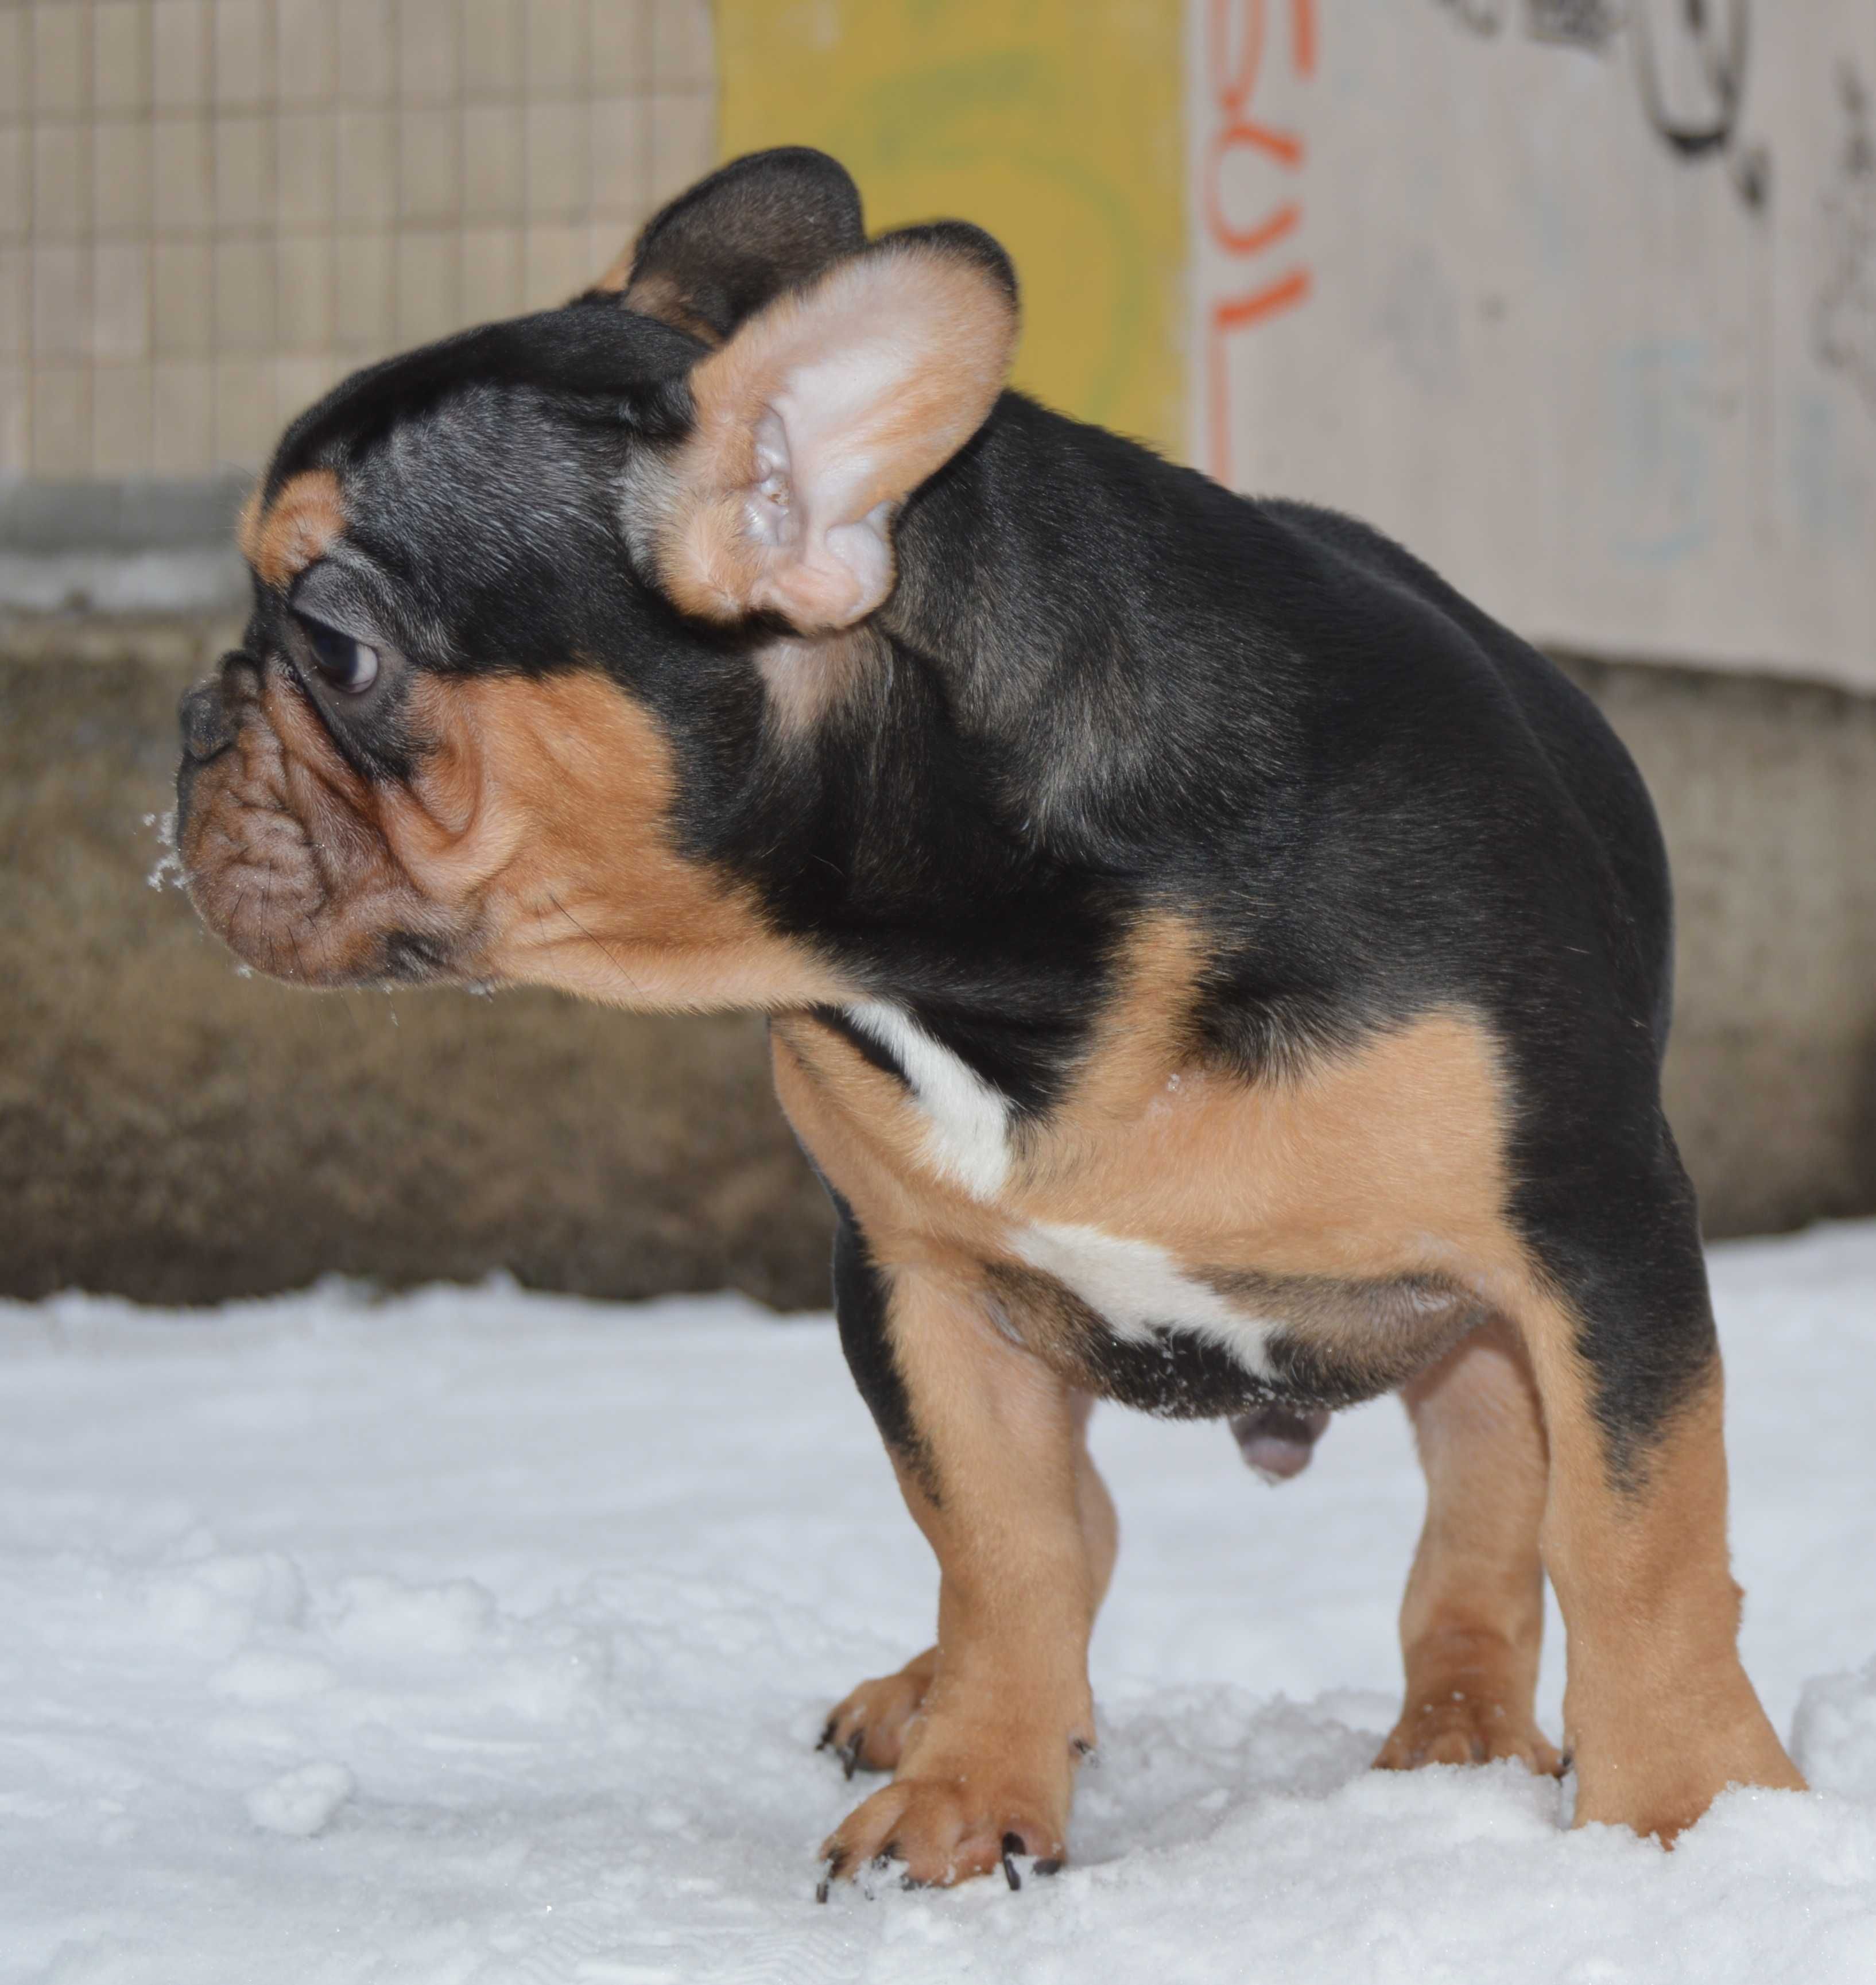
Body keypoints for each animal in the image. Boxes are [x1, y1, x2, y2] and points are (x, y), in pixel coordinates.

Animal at [172, 146, 1803, 1882]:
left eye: (333, 643)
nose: (194, 721)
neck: (981, 966)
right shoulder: (910, 1283)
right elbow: (1004, 1542)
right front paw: (972, 1787)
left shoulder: (1587, 1243)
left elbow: (1630, 1534)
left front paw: (1692, 1810)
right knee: (1081, 1530)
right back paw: (944, 1695)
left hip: (1481, 1339)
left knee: (1485, 1529)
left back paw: (1458, 1737)